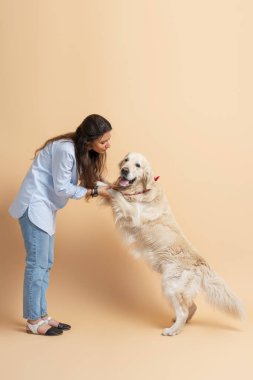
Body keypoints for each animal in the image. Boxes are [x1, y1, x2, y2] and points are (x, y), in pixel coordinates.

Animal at [103, 151, 245, 336]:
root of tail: (200, 262)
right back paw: (179, 323)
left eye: (138, 165)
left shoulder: (134, 215)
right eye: (126, 160)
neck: (141, 190)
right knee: (191, 307)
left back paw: (173, 330)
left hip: (170, 284)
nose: (124, 170)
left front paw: (104, 186)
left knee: (184, 310)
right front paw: (102, 184)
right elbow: (114, 192)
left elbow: (118, 195)